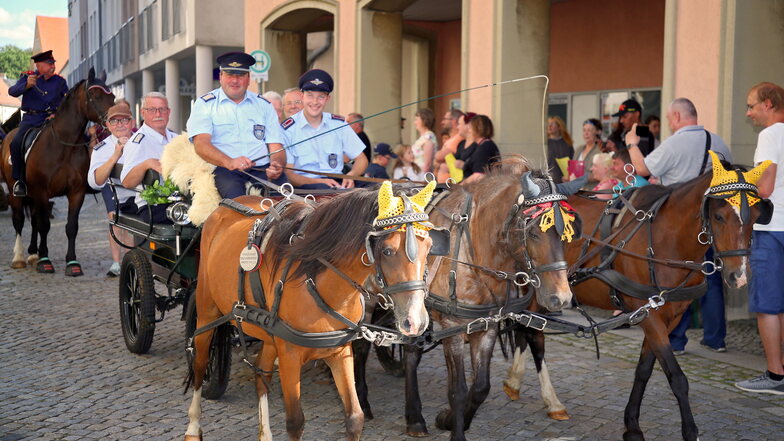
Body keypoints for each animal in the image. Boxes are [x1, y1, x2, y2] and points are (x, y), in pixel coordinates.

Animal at [0, 68, 115, 276]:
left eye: (113, 96)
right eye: (95, 95)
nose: (114, 120)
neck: (63, 144)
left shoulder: (76, 193)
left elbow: (71, 227)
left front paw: (72, 263)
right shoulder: (41, 191)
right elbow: (45, 225)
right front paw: (45, 261)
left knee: (34, 220)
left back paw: (33, 254)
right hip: (16, 193)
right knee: (19, 220)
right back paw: (19, 257)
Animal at [184, 180, 440, 440]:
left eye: (430, 246)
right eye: (387, 250)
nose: (416, 321)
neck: (317, 281)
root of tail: (222, 207)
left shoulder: (339, 351)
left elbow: (355, 416)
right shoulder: (289, 354)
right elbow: (295, 422)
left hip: (268, 332)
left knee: (261, 374)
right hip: (207, 309)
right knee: (200, 361)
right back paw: (193, 426)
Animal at [502, 151, 772, 440]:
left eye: (756, 215)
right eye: (719, 216)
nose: (738, 276)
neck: (666, 239)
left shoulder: (666, 316)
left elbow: (644, 370)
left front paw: (631, 424)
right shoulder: (649, 314)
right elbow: (677, 378)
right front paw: (690, 431)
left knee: (523, 329)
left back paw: (515, 382)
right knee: (534, 335)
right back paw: (551, 400)